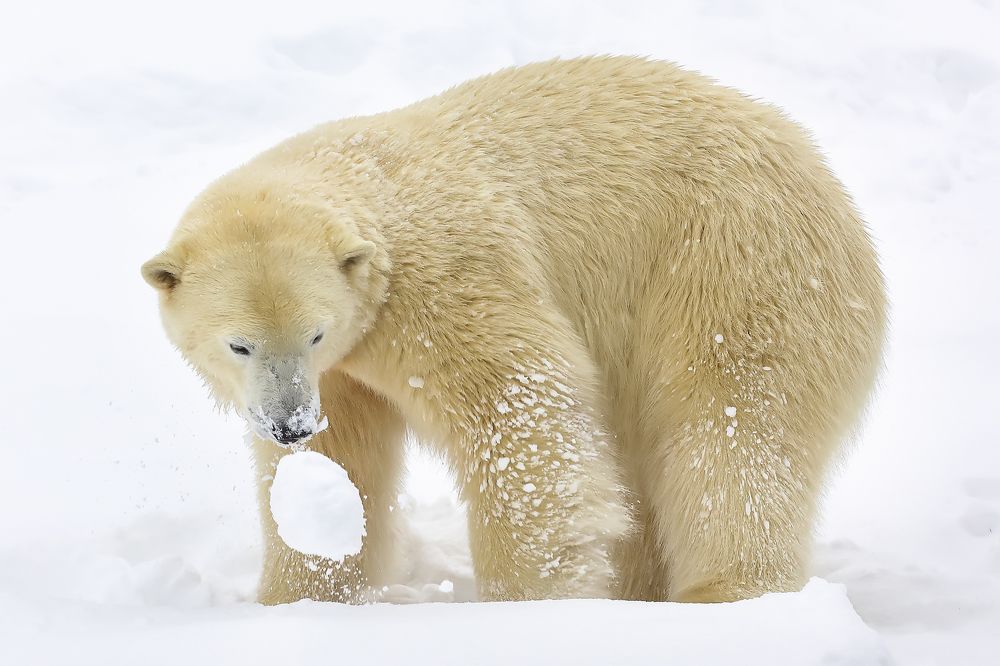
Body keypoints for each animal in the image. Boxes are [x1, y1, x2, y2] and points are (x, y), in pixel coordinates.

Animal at [142, 56, 886, 605]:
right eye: (239, 343)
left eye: (315, 332)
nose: (289, 423)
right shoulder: (342, 372)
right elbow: (341, 462)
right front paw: (297, 596)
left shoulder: (442, 280)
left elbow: (518, 405)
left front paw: (523, 603)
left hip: (734, 264)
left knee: (733, 426)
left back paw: (724, 592)